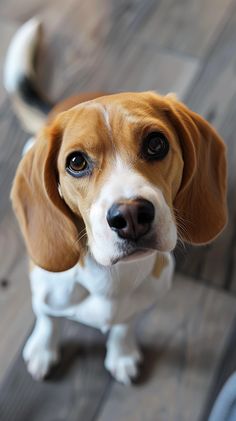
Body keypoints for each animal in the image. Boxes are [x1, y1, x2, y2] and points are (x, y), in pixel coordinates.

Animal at [3, 19, 228, 384]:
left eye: (156, 143)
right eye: (76, 162)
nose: (132, 215)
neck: (110, 280)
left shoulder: (140, 304)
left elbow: (124, 325)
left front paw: (121, 353)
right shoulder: (44, 291)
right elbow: (47, 319)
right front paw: (43, 348)